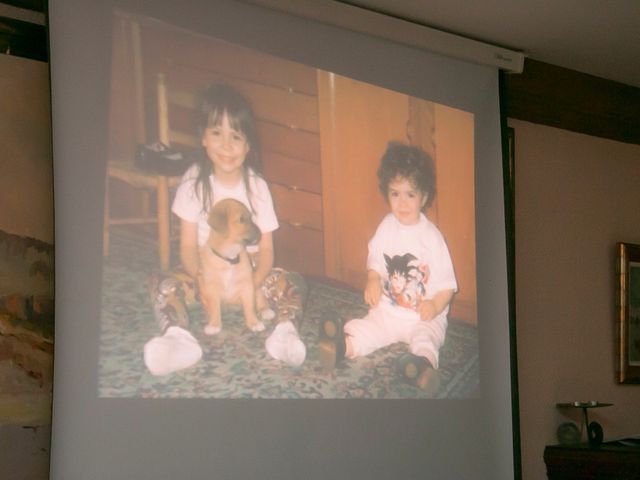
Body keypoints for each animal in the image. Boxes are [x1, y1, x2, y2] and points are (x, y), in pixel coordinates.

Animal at [200, 198, 268, 334]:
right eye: (241, 219)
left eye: (251, 217)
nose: (260, 234)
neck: (229, 258)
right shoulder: (211, 288)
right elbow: (214, 308)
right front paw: (214, 324)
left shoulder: (247, 285)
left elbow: (249, 307)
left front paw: (254, 322)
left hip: (256, 285)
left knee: (260, 298)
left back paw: (266, 310)